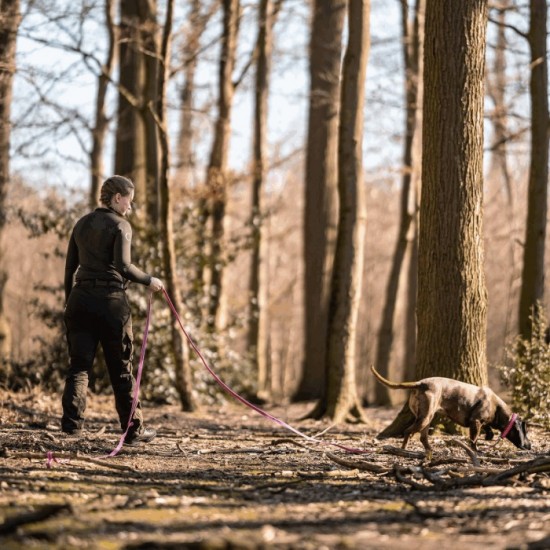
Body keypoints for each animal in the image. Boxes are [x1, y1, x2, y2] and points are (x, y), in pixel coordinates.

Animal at [374, 366, 532, 462]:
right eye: (525, 432)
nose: (530, 446)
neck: (497, 407)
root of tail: (421, 383)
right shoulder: (475, 421)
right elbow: (473, 441)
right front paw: (476, 451)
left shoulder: (482, 422)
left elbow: (489, 430)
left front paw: (488, 436)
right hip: (425, 418)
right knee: (408, 432)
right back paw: (403, 450)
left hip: (428, 418)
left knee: (423, 438)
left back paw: (429, 451)